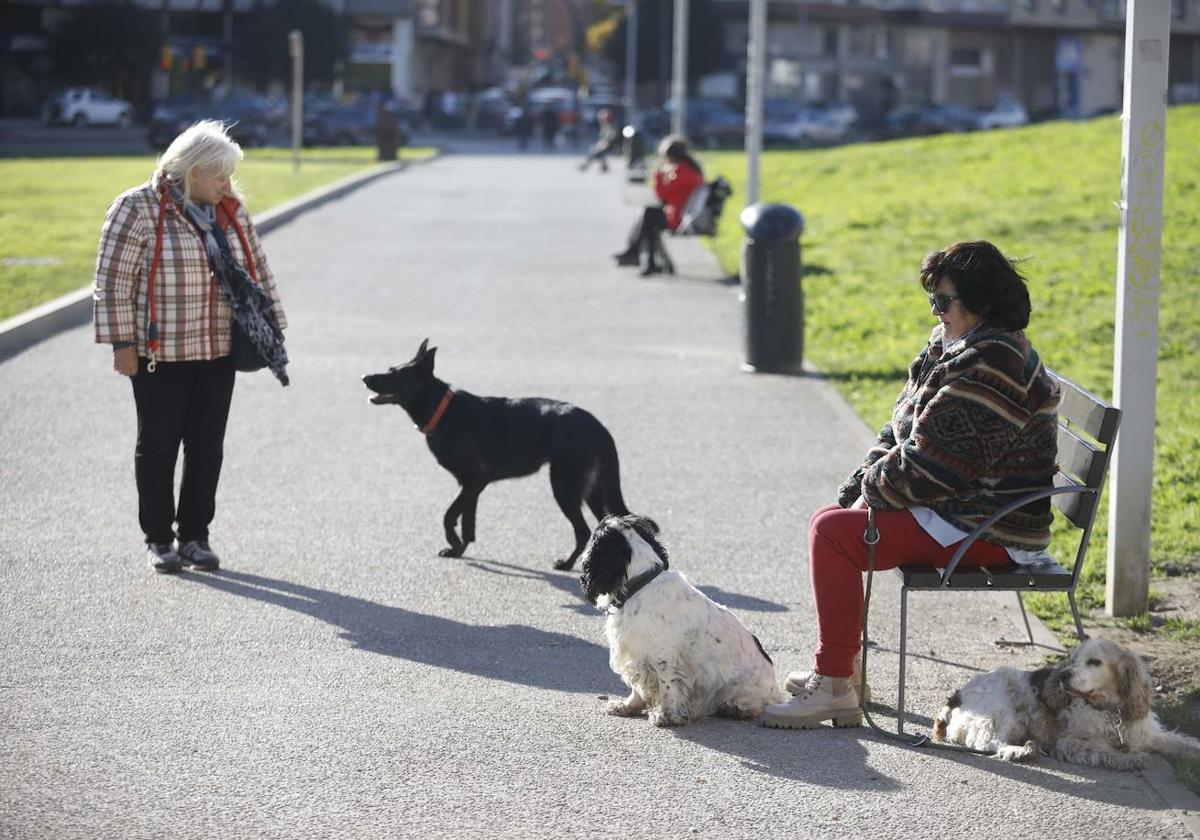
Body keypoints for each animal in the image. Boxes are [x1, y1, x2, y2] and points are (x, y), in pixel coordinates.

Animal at [362, 340, 628, 571]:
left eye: (394, 375)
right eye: (390, 370)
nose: (364, 377)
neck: (443, 410)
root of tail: (599, 428)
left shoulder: (475, 480)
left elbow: (449, 516)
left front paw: (453, 542)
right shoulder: (473, 486)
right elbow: (468, 522)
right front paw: (458, 549)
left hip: (564, 487)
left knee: (583, 531)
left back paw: (568, 563)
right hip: (593, 492)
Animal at [576, 516, 782, 724]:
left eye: (595, 536)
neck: (641, 583)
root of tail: (775, 690)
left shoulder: (664, 658)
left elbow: (667, 687)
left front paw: (666, 715)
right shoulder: (635, 654)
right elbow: (637, 687)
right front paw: (626, 706)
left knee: (758, 705)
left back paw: (735, 709)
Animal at [936, 638, 1200, 768]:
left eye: (1094, 662)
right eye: (1072, 660)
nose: (1063, 676)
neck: (1110, 710)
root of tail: (956, 696)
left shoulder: (1150, 735)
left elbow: (1186, 744)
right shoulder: (1070, 743)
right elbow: (1105, 751)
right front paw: (1130, 759)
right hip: (1004, 712)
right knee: (986, 742)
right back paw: (1020, 751)